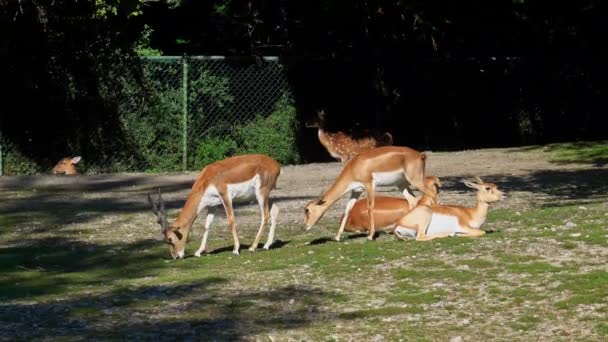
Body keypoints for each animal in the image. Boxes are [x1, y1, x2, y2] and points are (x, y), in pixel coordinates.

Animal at [148, 154, 282, 260]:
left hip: (261, 194)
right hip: (264, 196)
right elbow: (207, 225)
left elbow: (231, 220)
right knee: (275, 209)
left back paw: (252, 247)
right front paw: (198, 252)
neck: (208, 178)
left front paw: (236, 249)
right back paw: (266, 245)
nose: (175, 256)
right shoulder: (213, 204)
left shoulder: (225, 196)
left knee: (265, 216)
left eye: (170, 239)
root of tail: (276, 165)